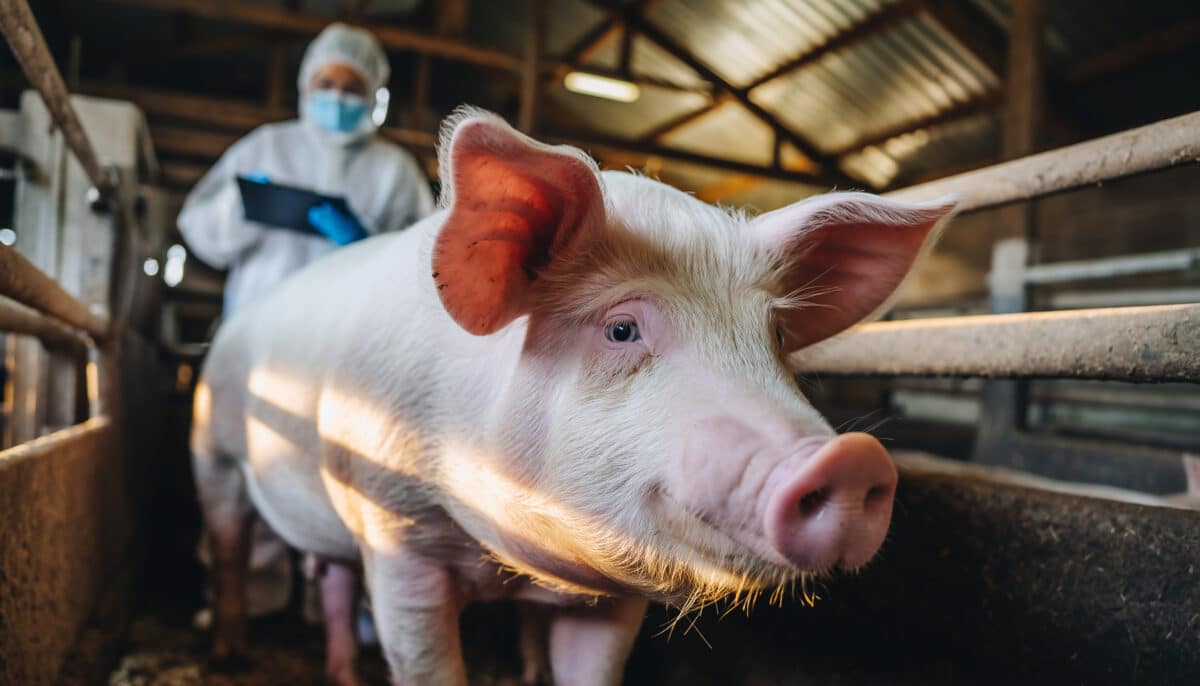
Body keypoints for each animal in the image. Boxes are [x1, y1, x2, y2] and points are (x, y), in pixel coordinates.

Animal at [191, 108, 960, 686]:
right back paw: (229, 651)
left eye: (772, 335)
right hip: (214, 450)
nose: (853, 460)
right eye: (621, 328)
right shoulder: (395, 526)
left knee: (333, 579)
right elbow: (426, 662)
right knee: (229, 545)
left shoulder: (614, 596)